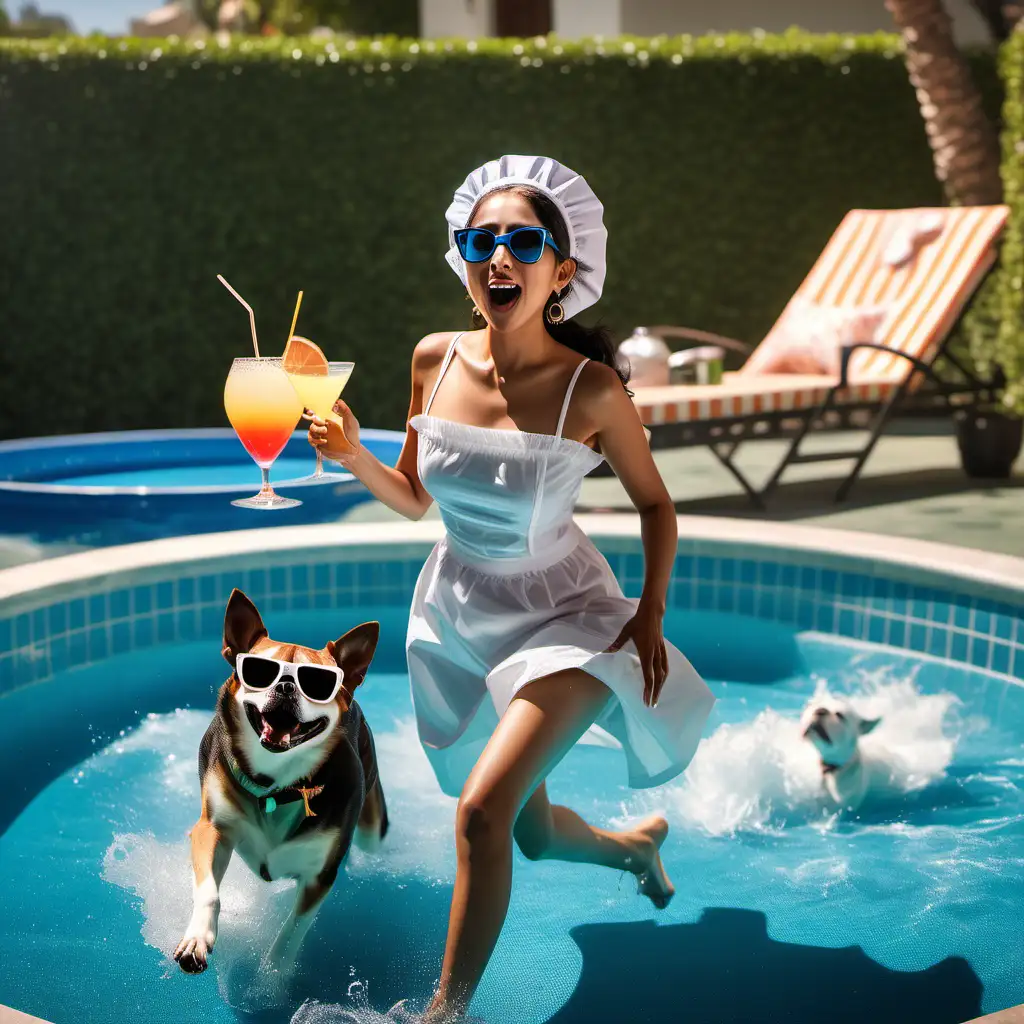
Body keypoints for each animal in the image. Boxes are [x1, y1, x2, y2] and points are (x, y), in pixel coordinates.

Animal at [173, 589, 387, 970]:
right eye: (259, 671)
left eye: (318, 682)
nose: (286, 685)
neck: (276, 784)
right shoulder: (210, 828)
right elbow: (209, 891)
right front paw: (198, 937)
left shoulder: (319, 875)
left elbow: (292, 932)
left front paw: (271, 977)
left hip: (370, 821)